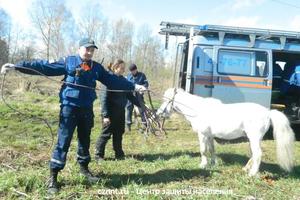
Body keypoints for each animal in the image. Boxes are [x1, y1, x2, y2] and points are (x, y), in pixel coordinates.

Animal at [157, 88, 296, 176]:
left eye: (167, 100)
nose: (158, 113)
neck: (197, 110)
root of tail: (268, 112)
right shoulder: (209, 135)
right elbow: (212, 150)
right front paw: (213, 164)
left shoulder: (202, 134)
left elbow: (203, 150)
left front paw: (203, 165)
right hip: (252, 139)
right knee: (253, 154)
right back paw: (246, 168)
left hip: (254, 138)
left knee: (258, 154)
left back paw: (252, 173)